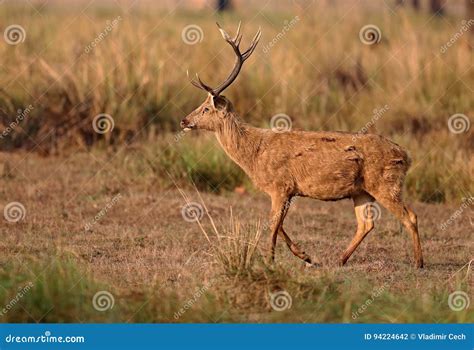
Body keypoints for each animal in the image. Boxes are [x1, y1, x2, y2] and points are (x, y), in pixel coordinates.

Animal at [180, 23, 424, 268]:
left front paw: (270, 260)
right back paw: (340, 259)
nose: (184, 120)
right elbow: (279, 225)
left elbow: (273, 224)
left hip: (385, 183)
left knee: (410, 216)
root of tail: (406, 156)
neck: (254, 154)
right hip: (362, 190)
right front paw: (305, 256)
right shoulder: (287, 191)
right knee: (366, 224)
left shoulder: (280, 185)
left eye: (206, 109)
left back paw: (418, 262)